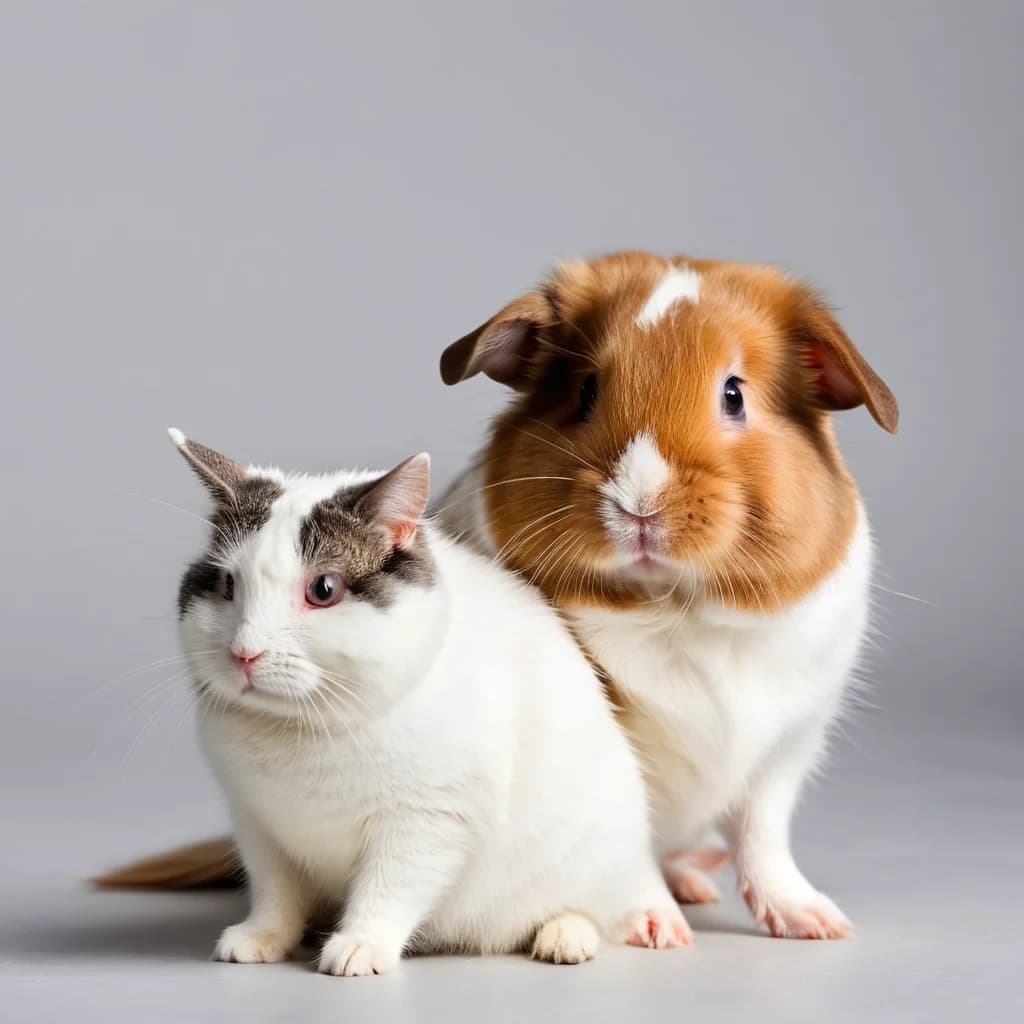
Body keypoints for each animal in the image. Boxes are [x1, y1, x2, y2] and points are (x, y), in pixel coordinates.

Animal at [155, 429, 688, 974]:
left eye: (323, 589)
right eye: (227, 585)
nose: (244, 652)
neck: (305, 728)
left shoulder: (426, 823)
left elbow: (388, 888)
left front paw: (362, 943)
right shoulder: (257, 826)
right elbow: (275, 892)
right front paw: (264, 935)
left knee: (593, 906)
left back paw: (565, 935)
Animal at [438, 251, 899, 939]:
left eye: (734, 393)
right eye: (586, 389)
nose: (640, 503)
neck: (677, 609)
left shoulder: (784, 752)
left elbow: (763, 838)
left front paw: (816, 924)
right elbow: (629, 847)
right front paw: (657, 932)